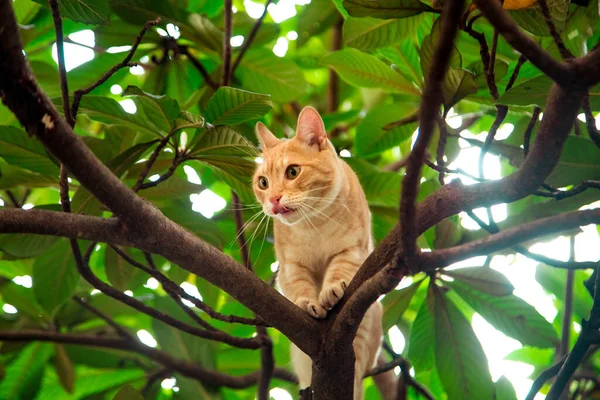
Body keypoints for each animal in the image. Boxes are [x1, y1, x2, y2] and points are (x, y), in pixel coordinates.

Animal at [251, 107, 382, 400]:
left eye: (293, 172)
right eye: (263, 183)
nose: (273, 199)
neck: (314, 225)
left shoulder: (354, 250)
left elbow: (341, 269)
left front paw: (332, 289)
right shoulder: (290, 267)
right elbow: (299, 286)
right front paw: (307, 302)